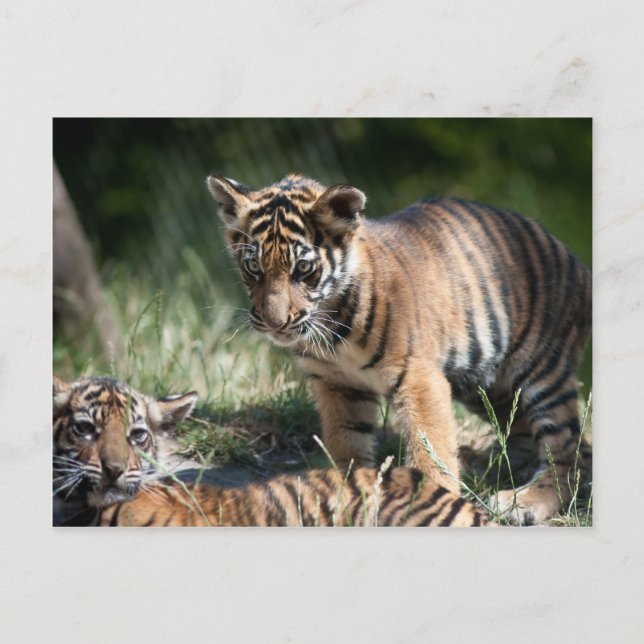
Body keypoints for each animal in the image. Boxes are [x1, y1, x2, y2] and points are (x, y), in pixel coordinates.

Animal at [207, 173, 592, 525]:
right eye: (253, 267)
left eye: (303, 269)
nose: (275, 323)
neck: (332, 328)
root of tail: (572, 256)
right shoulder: (337, 386)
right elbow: (346, 447)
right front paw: (346, 497)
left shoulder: (419, 380)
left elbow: (431, 451)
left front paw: (437, 500)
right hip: (485, 384)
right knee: (536, 435)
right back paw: (486, 465)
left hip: (542, 371)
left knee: (567, 450)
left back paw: (525, 501)